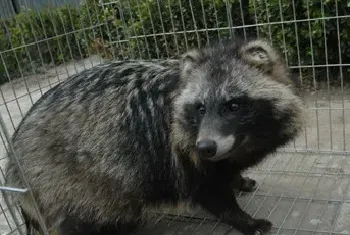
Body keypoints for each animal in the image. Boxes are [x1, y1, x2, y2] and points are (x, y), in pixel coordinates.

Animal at [5, 37, 304, 234]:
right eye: (200, 108)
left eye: (233, 105)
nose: (206, 147)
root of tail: (12, 165)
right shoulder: (181, 155)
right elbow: (211, 193)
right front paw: (244, 220)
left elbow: (226, 171)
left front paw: (238, 178)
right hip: (69, 185)